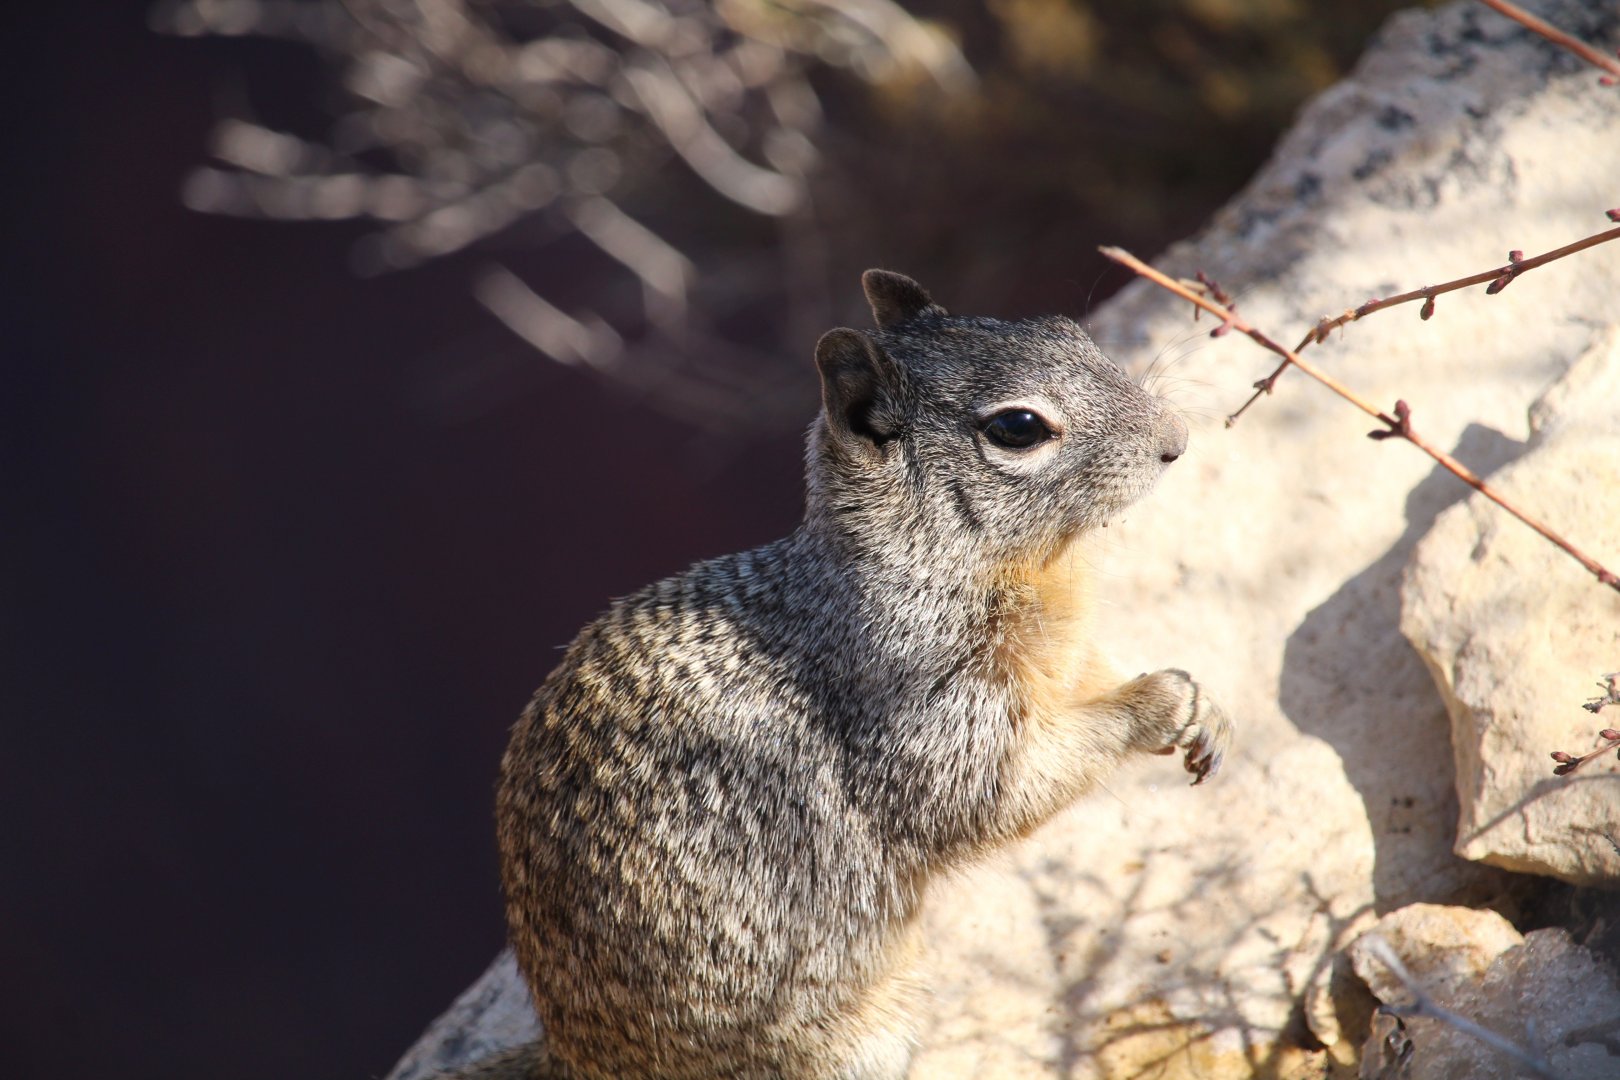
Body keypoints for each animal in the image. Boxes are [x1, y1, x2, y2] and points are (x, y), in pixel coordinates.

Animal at [480, 270, 1232, 1080]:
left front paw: (1203, 706)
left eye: (1067, 328)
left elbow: (1095, 678)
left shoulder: (1066, 660)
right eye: (1019, 427)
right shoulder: (928, 712)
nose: (1176, 440)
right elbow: (996, 790)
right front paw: (1156, 703)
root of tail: (574, 1058)